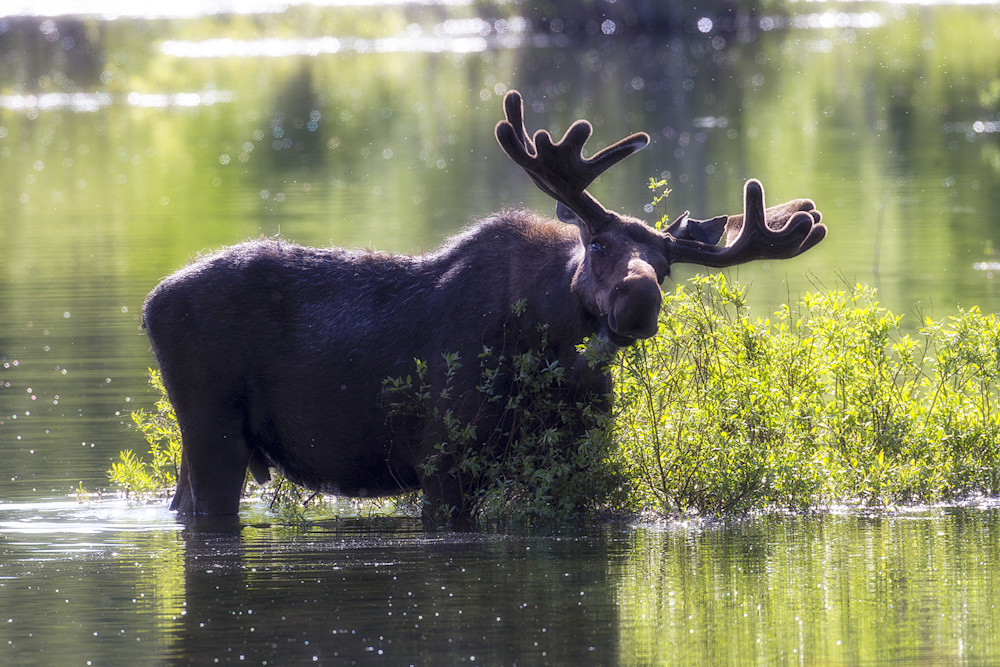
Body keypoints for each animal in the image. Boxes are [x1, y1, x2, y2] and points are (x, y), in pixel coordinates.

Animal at [142, 90, 826, 528]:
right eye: (597, 243)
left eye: (665, 268)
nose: (640, 302)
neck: (549, 346)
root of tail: (150, 304)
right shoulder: (442, 459)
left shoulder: (577, 454)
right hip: (212, 430)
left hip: (200, 445)